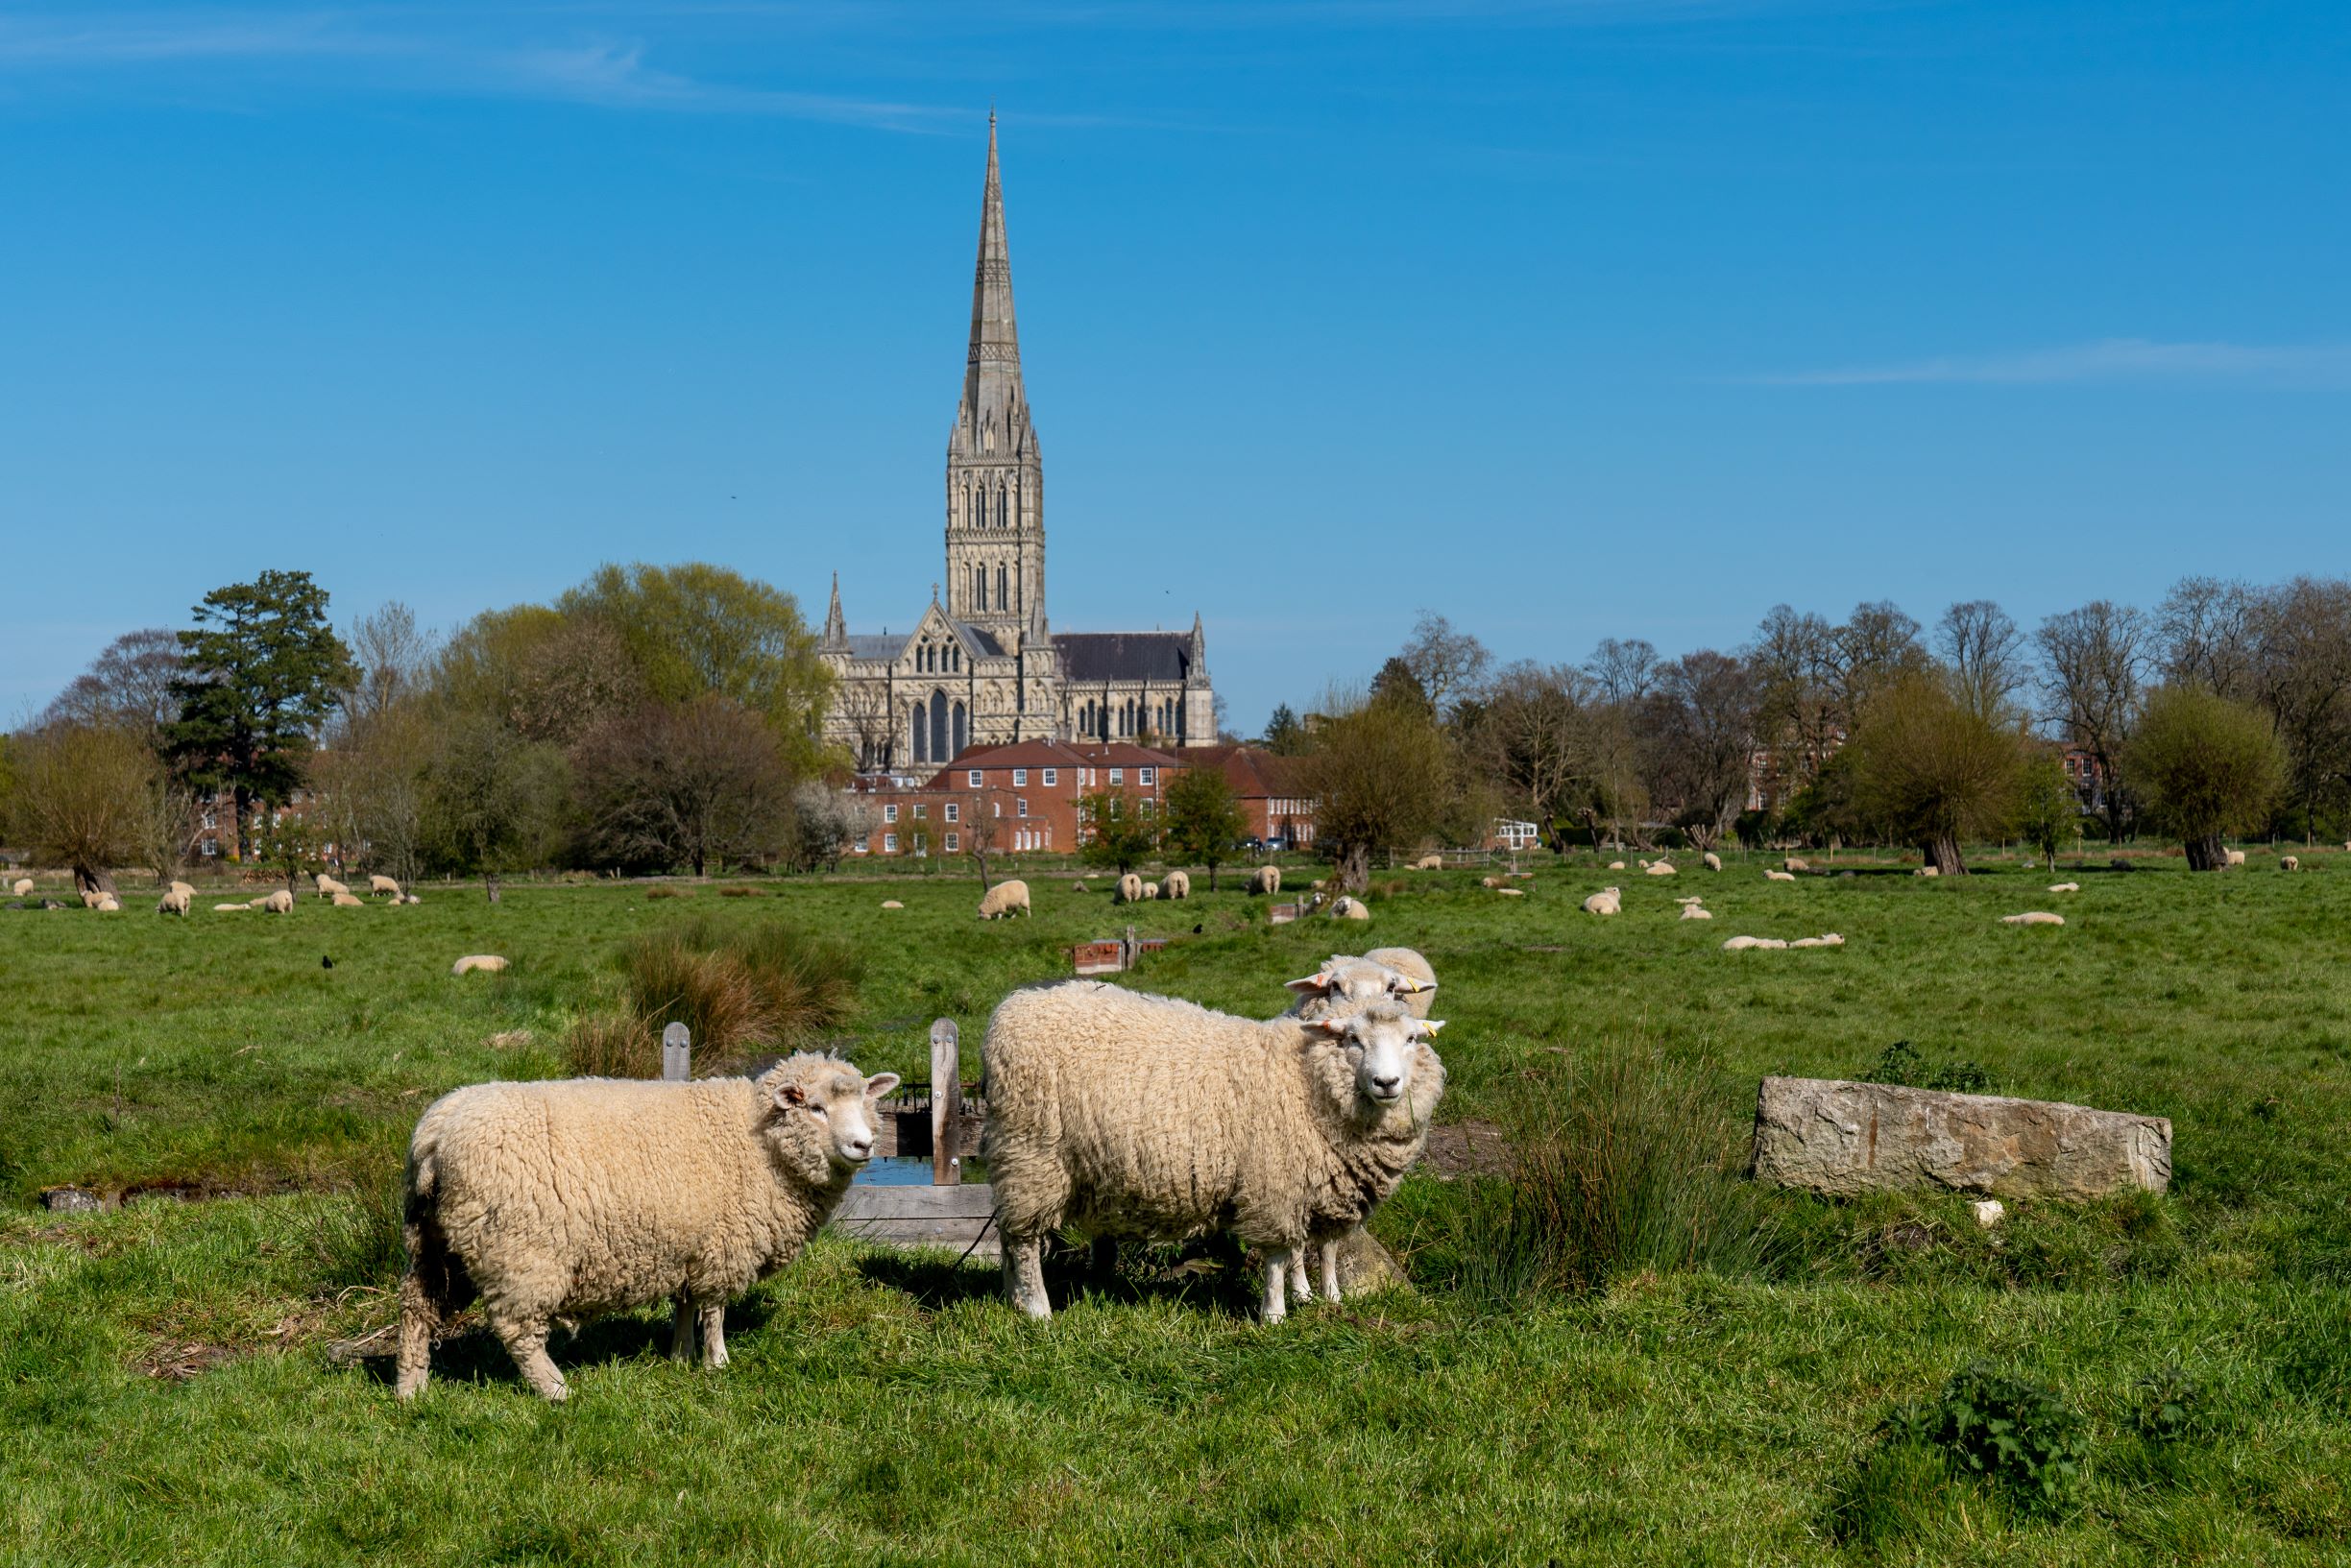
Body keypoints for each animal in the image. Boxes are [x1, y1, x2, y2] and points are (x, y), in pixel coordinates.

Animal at [395, 1053, 901, 1401]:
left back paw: (411, 1390)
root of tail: (435, 1131)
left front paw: (680, 1356)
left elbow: (685, 1303)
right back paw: (556, 1390)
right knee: (516, 1329)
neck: (760, 1144)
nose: (864, 1145)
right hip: (520, 1251)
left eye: (865, 1101)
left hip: (439, 1243)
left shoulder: (688, 1244)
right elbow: (714, 1310)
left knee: (417, 1310)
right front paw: (717, 1364)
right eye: (815, 1107)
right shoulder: (724, 1245)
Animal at [982, 983, 1444, 1322]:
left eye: (1411, 1038)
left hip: (1021, 1158)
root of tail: (1009, 1010)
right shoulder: (1274, 1181)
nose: (1387, 1083)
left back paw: (1013, 1299)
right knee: (1024, 1240)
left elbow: (1324, 1248)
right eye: (1353, 1039)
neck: (1305, 1079)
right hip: (1034, 1155)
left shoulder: (1324, 1187)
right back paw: (1038, 1310)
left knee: (1007, 1233)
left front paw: (1327, 1300)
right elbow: (1278, 1257)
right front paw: (1274, 1315)